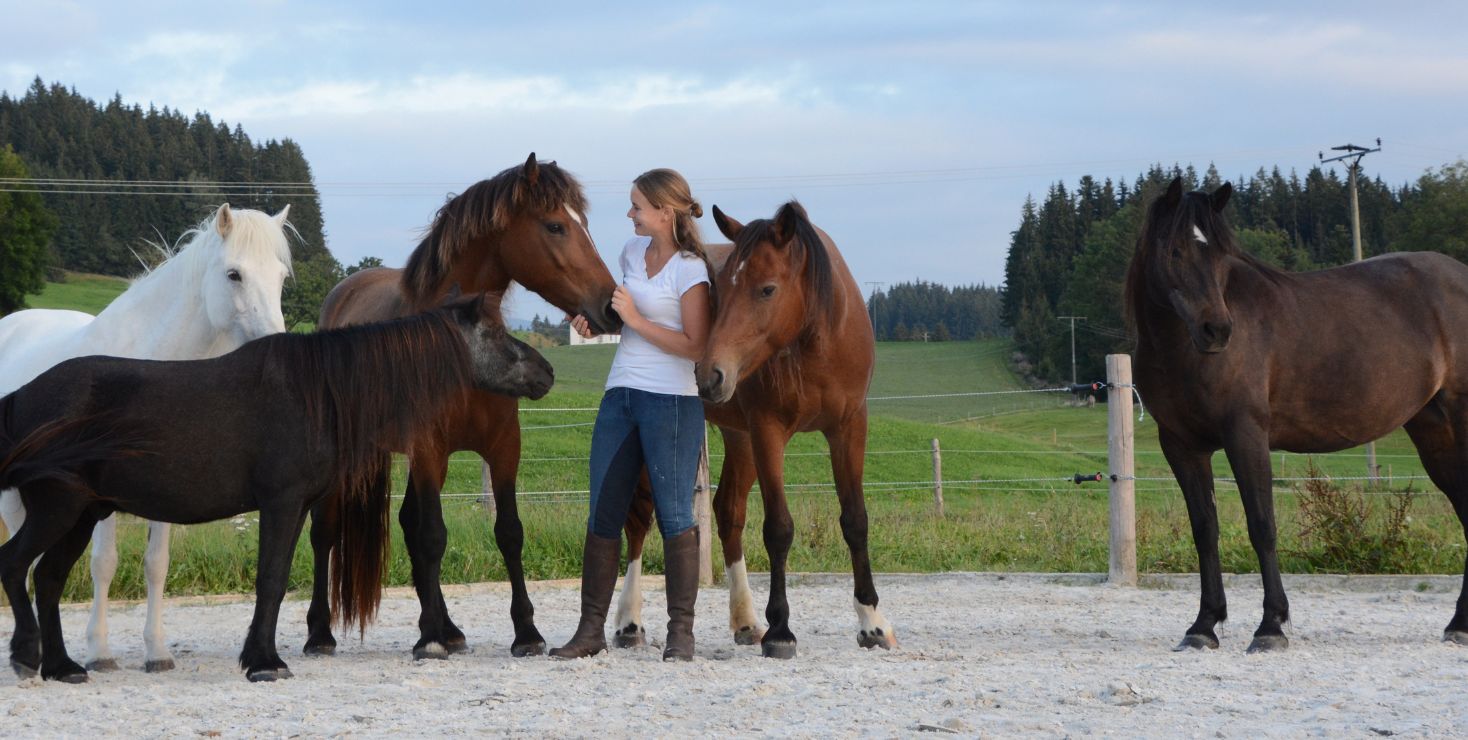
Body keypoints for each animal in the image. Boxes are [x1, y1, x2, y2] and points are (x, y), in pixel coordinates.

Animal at [0, 202, 295, 669]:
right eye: (234, 274)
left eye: (281, 276)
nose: (275, 350)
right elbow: (103, 563)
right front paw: (99, 652)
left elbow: (157, 563)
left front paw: (156, 651)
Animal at [0, 293, 551, 681]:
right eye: (498, 333)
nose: (546, 371)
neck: (319, 390)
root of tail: (21, 396)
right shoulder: (280, 503)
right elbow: (270, 579)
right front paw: (264, 662)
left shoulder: (299, 505)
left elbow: (280, 576)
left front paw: (262, 654)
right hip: (58, 509)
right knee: (16, 564)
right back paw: (28, 655)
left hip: (81, 514)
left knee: (47, 578)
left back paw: (62, 667)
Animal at [309, 151, 619, 657]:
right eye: (555, 226)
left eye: (586, 223)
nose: (610, 307)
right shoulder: (430, 449)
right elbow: (434, 535)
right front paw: (432, 639)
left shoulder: (503, 448)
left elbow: (508, 532)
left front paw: (525, 632)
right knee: (325, 531)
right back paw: (321, 632)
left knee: (406, 523)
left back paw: (446, 627)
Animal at [601, 199, 886, 654]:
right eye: (719, 289)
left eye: (767, 289)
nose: (709, 375)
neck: (815, 342)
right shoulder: (768, 431)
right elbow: (779, 528)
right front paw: (781, 629)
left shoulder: (848, 428)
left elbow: (855, 520)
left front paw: (872, 622)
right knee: (640, 518)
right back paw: (630, 621)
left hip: (739, 438)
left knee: (728, 511)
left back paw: (746, 620)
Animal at [1133, 179, 1468, 651]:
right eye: (1175, 251)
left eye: (1219, 255)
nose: (1217, 330)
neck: (1180, 351)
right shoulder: (1181, 446)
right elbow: (1204, 529)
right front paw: (1203, 626)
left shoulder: (1246, 435)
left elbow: (1262, 525)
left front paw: (1271, 626)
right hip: (1434, 433)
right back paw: (1459, 623)